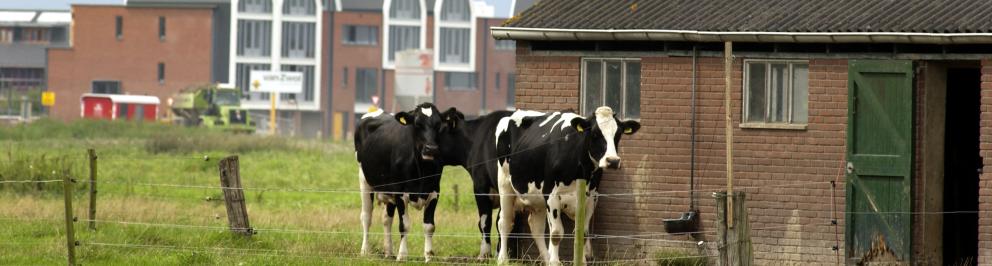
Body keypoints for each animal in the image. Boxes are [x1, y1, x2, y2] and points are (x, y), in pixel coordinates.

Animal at [356, 102, 464, 262]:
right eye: (417, 124)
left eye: (438, 124)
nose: (431, 149)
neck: (421, 170)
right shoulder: (400, 193)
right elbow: (404, 225)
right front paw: (402, 255)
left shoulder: (434, 192)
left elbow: (429, 226)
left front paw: (428, 256)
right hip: (364, 180)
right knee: (366, 217)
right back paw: (365, 250)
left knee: (386, 219)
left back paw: (389, 251)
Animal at [492, 106, 640, 264]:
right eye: (595, 133)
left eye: (618, 134)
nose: (612, 161)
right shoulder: (552, 194)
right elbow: (556, 233)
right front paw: (555, 263)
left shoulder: (592, 198)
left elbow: (583, 233)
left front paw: (581, 262)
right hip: (505, 186)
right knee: (505, 222)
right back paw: (503, 259)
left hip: (537, 197)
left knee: (536, 227)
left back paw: (546, 260)